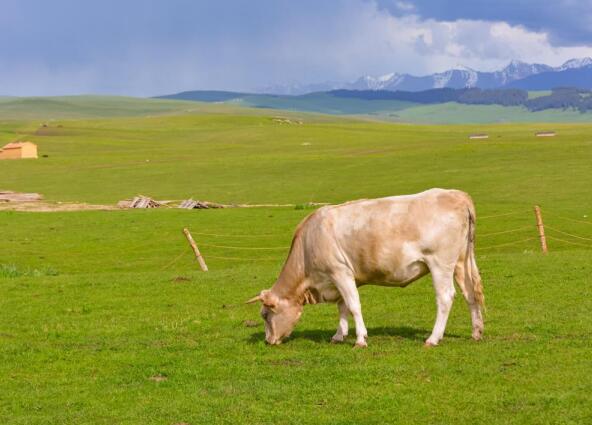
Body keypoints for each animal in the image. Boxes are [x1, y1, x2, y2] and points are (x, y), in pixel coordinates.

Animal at [247, 187, 484, 346]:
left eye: (265, 315)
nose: (268, 341)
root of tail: (457, 195)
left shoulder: (339, 272)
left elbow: (353, 306)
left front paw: (360, 339)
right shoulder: (342, 278)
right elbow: (342, 306)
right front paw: (339, 335)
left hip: (440, 263)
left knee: (445, 297)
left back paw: (433, 338)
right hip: (461, 262)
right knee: (470, 293)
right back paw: (476, 332)